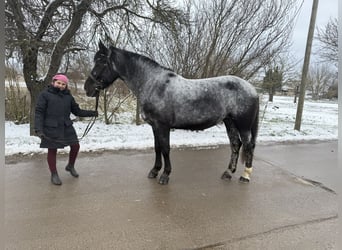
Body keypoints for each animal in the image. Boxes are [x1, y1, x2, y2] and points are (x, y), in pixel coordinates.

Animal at [83, 41, 260, 185]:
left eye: (102, 62)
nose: (87, 88)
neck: (153, 84)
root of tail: (252, 89)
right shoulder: (154, 126)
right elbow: (157, 148)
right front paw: (154, 171)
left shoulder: (163, 126)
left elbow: (166, 149)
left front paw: (165, 175)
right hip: (229, 122)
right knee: (235, 145)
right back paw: (228, 173)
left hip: (243, 125)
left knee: (248, 146)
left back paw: (245, 176)